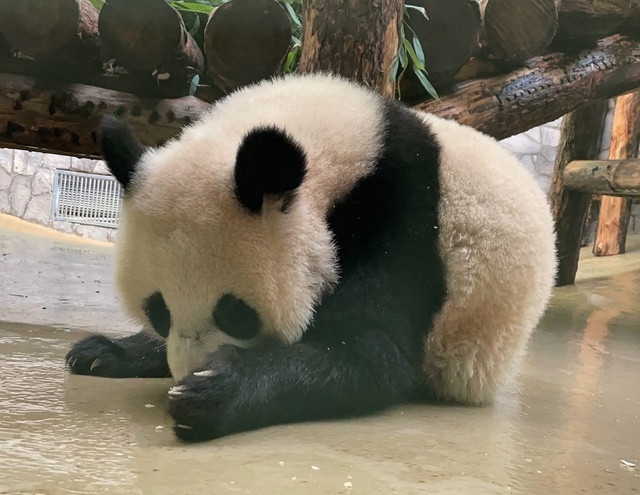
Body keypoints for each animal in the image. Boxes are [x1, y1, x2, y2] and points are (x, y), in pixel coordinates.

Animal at [66, 73, 556, 441]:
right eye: (159, 311)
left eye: (235, 314)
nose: (185, 371)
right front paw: (111, 351)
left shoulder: (404, 216)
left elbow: (371, 353)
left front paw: (211, 390)